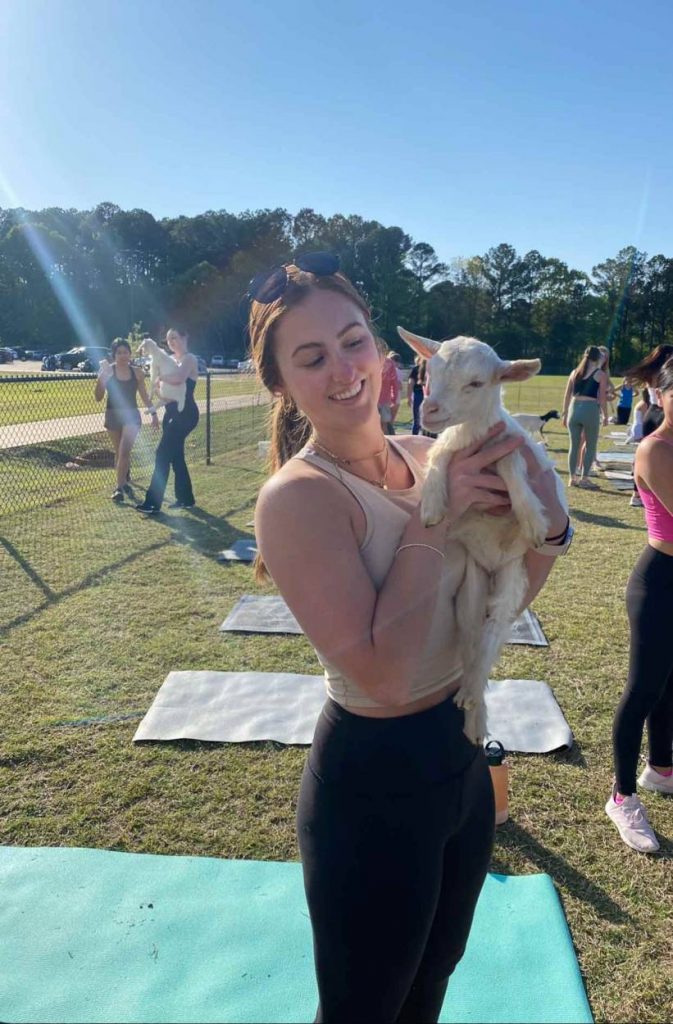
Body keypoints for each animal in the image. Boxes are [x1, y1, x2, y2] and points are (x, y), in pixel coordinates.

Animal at [395, 327, 565, 745]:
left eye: (476, 383)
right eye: (430, 373)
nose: (429, 410)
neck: (473, 435)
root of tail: (491, 564)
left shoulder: (511, 444)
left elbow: (511, 464)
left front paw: (534, 520)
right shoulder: (448, 445)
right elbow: (438, 457)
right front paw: (432, 507)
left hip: (511, 579)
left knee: (492, 638)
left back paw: (473, 702)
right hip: (470, 587)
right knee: (473, 642)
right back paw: (471, 708)